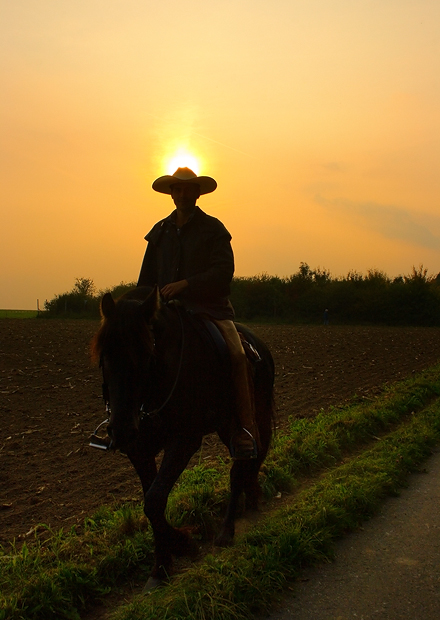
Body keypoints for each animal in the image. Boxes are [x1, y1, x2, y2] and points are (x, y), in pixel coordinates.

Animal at [90, 286, 274, 588]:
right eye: (104, 356)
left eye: (146, 355)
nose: (122, 430)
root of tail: (261, 346)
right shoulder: (139, 449)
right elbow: (152, 501)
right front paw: (164, 562)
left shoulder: (184, 442)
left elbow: (154, 501)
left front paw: (182, 545)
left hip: (247, 420)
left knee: (242, 466)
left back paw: (226, 530)